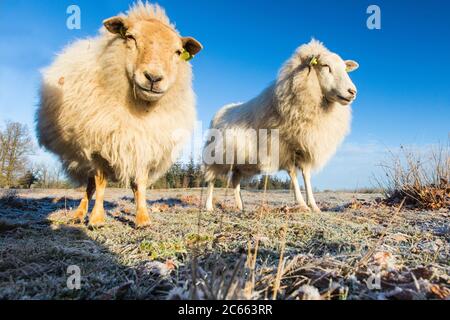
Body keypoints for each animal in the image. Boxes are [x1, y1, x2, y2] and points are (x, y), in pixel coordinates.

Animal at [204, 39, 358, 212]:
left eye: (345, 69)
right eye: (325, 66)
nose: (352, 91)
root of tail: (220, 111)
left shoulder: (304, 148)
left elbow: (306, 176)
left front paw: (314, 206)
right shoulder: (282, 147)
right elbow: (293, 174)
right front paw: (302, 204)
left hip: (238, 163)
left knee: (235, 182)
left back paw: (240, 206)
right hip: (215, 157)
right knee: (211, 181)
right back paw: (209, 206)